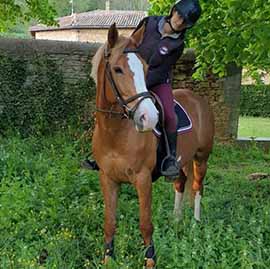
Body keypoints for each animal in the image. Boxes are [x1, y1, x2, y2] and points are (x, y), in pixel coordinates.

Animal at [92, 23, 214, 268]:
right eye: (117, 69)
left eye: (145, 68)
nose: (148, 118)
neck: (115, 134)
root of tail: (199, 100)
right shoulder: (107, 178)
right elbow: (109, 221)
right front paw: (108, 258)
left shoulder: (143, 179)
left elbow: (145, 224)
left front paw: (150, 260)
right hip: (181, 160)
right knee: (180, 183)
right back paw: (176, 220)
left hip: (201, 158)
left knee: (197, 187)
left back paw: (195, 224)